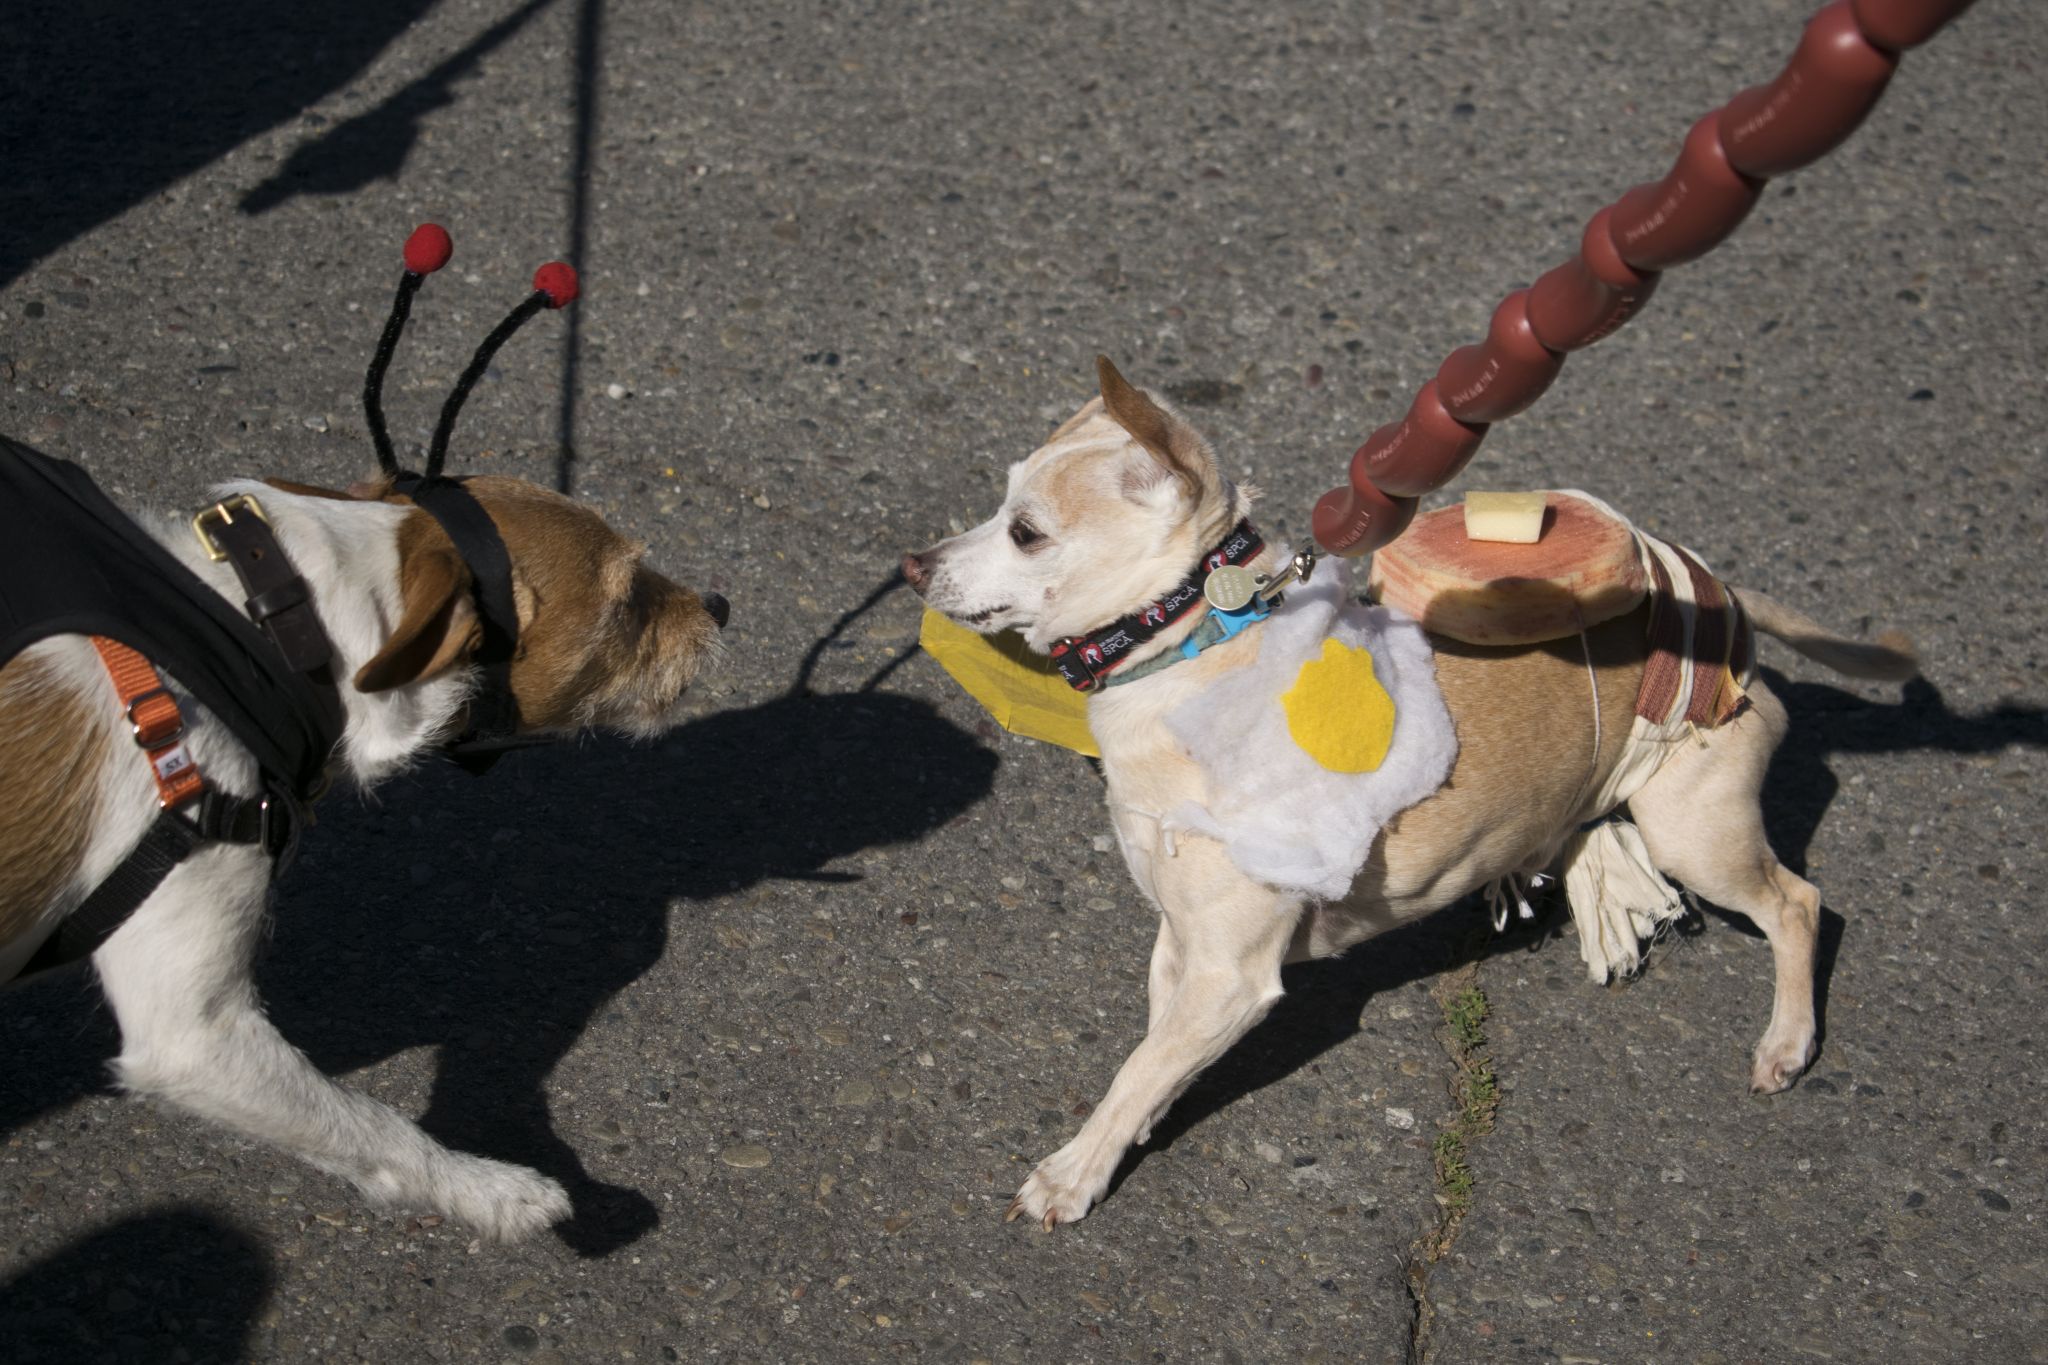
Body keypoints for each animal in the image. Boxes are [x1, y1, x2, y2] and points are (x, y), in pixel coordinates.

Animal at [2, 470, 729, 1236]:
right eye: (625, 597)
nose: (720, 606)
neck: (269, 631)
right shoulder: (195, 1033)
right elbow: (374, 1126)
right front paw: (491, 1190)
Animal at [905, 360, 1908, 1227]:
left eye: (1026, 530)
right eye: (999, 499)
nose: (914, 564)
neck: (1192, 649)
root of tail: (1719, 597)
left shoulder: (1231, 972)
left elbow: (1134, 1071)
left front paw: (1073, 1171)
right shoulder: (1183, 941)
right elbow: (1153, 1054)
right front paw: (1139, 1127)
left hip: (1690, 828)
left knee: (1799, 901)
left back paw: (1787, 1040)